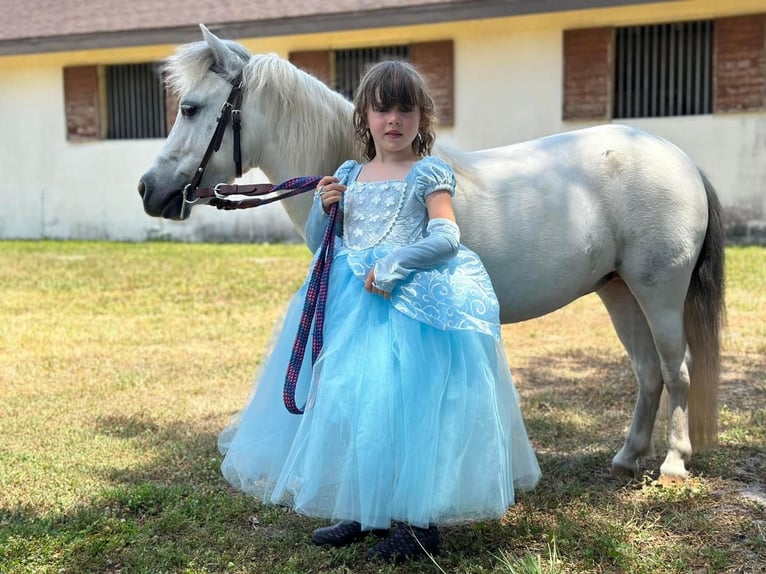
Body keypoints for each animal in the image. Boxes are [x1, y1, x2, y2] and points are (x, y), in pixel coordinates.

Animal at [138, 25, 728, 482]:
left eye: (190, 108)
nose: (149, 190)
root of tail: (681, 160)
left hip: (659, 292)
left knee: (676, 369)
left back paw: (673, 463)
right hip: (619, 291)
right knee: (648, 372)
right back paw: (628, 457)